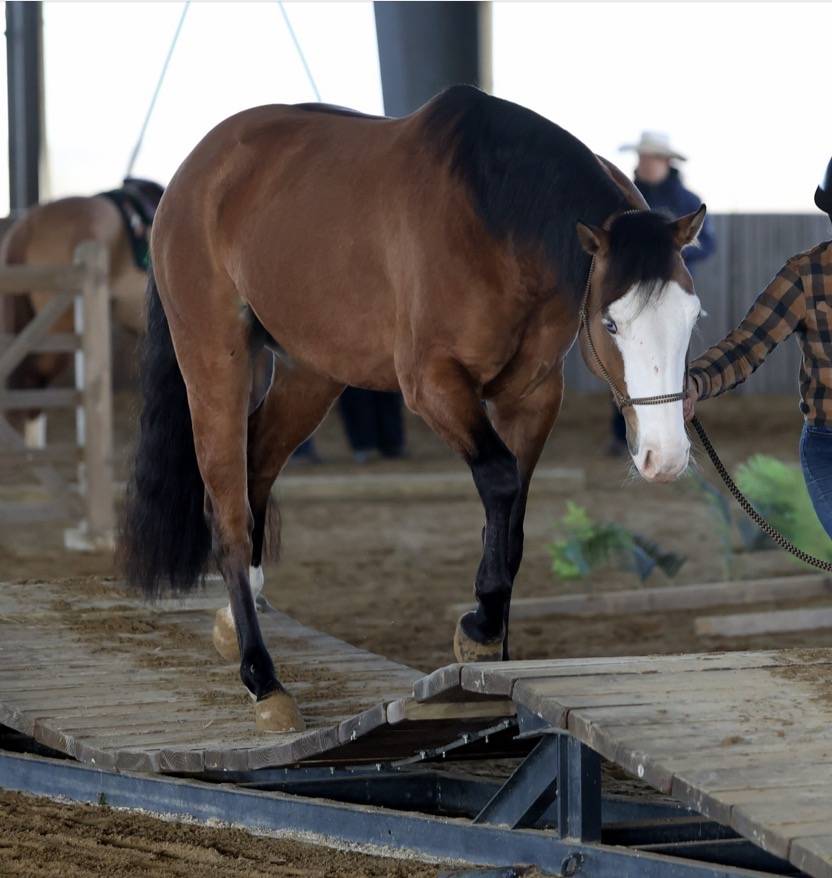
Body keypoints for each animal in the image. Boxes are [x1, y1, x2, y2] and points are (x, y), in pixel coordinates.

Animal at [120, 86, 705, 731]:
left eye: (692, 317)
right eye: (611, 323)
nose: (665, 456)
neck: (497, 218)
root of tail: (192, 173)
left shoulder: (531, 397)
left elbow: (512, 519)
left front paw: (494, 652)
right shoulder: (432, 383)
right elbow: (499, 481)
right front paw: (479, 629)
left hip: (312, 372)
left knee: (256, 472)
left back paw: (236, 619)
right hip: (214, 361)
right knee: (227, 511)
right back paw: (262, 679)